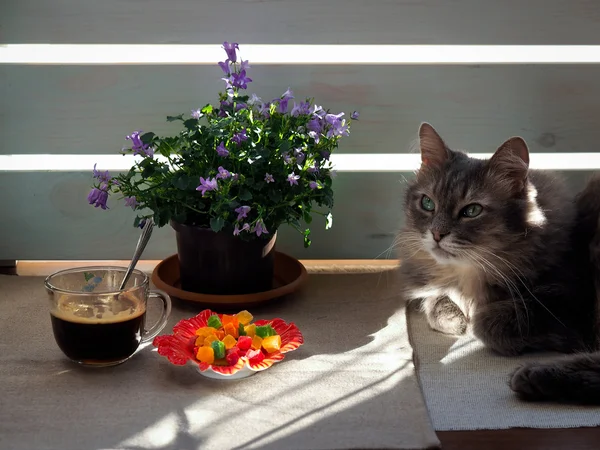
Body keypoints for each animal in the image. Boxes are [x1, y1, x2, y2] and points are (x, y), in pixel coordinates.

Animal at [396, 123, 600, 404]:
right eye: (427, 203)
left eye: (472, 211)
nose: (436, 234)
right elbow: (436, 300)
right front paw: (456, 319)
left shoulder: (566, 299)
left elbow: (485, 323)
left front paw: (473, 324)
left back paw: (533, 375)